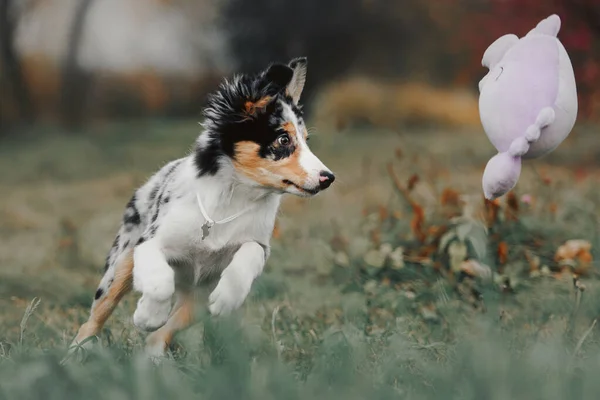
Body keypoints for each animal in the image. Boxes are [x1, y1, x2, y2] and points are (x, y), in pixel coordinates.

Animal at [71, 57, 336, 356]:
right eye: (283, 139)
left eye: (306, 140)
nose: (328, 178)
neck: (234, 195)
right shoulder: (149, 242)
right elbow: (159, 280)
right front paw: (147, 315)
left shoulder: (258, 243)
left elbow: (250, 253)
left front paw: (227, 297)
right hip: (120, 265)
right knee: (97, 315)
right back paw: (75, 352)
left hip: (197, 303)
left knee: (162, 333)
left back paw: (153, 359)